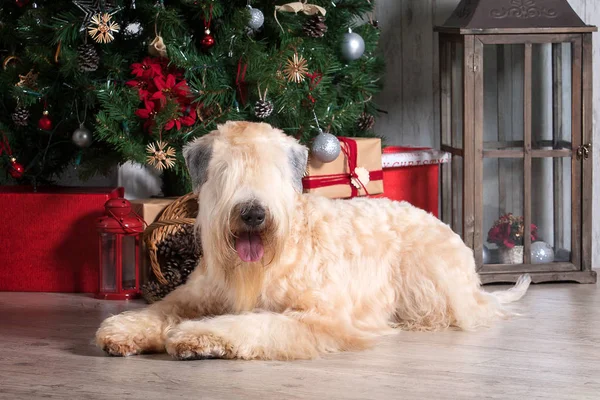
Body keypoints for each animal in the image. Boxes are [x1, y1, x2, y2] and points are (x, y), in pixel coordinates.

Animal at [95, 121, 528, 360]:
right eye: (226, 170)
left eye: (274, 170)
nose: (253, 213)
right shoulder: (193, 295)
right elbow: (161, 311)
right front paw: (124, 330)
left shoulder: (319, 316)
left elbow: (252, 324)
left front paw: (198, 336)